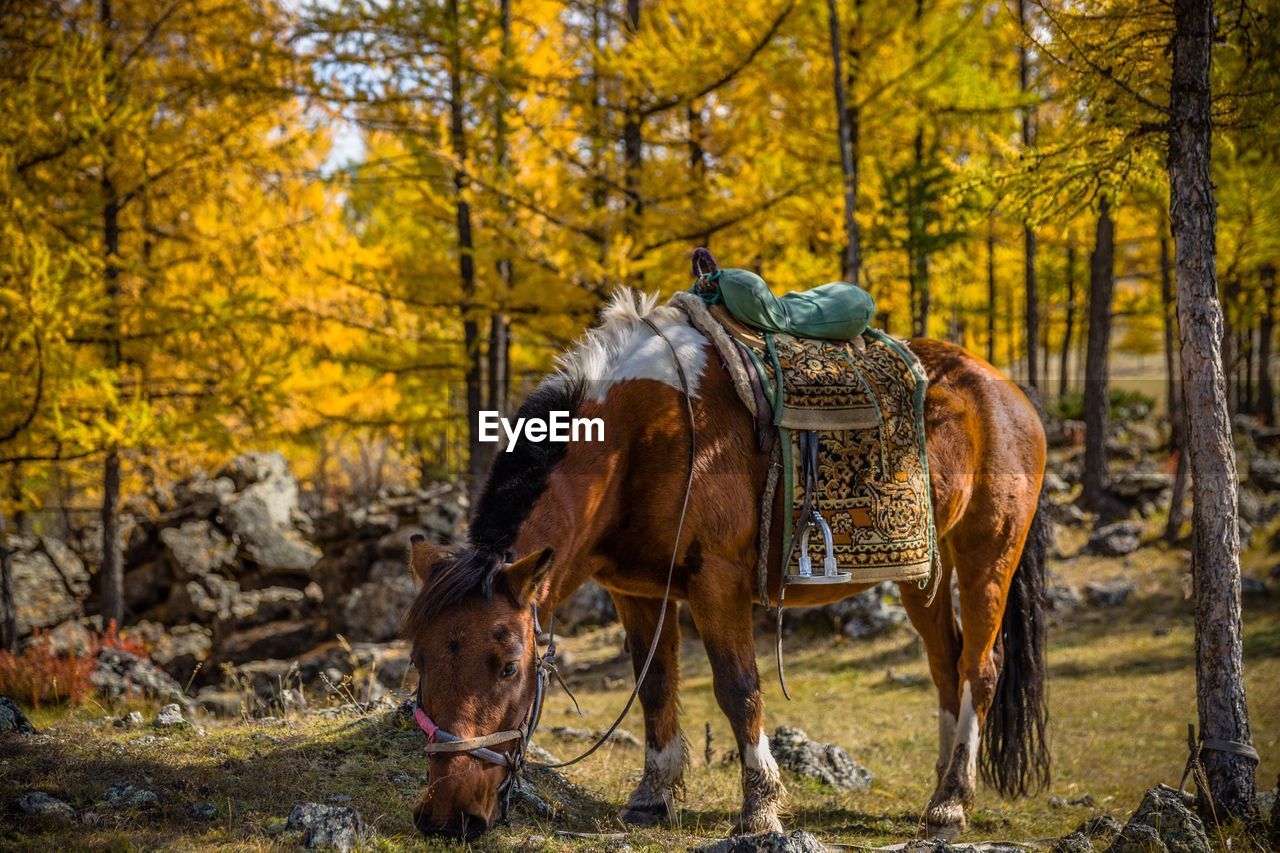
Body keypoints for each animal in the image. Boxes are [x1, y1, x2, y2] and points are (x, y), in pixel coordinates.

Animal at [401, 289, 1049, 840]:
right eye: (419, 660)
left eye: (510, 667)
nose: (445, 819)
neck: (637, 440)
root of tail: (1006, 389)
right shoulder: (638, 592)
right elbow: (655, 687)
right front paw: (651, 797)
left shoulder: (717, 582)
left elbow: (739, 689)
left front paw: (760, 807)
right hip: (923, 574)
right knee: (945, 663)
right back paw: (943, 784)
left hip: (987, 552)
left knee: (980, 667)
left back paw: (953, 802)